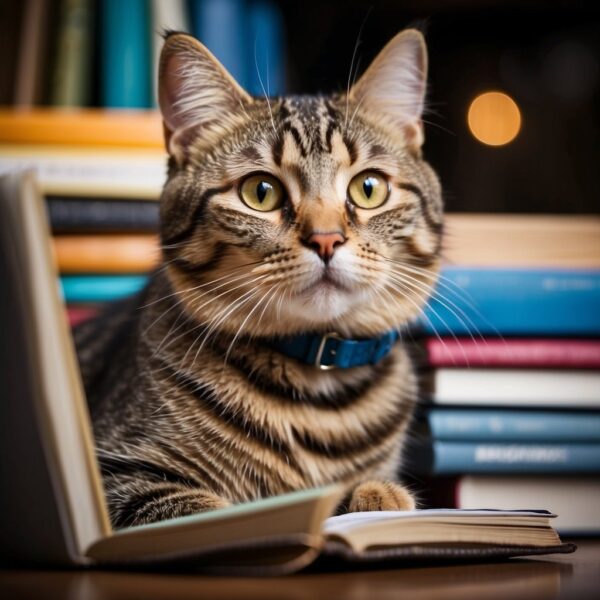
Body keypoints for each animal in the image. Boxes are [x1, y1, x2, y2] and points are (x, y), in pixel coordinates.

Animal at [75, 29, 442, 524]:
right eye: (260, 192)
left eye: (368, 188)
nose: (326, 239)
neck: (316, 398)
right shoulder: (114, 474)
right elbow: (200, 511)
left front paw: (376, 495)